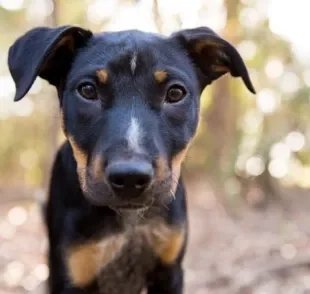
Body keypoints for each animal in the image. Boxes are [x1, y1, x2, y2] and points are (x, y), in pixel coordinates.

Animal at [7, 25, 254, 294]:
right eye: (87, 90)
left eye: (175, 93)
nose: (129, 178)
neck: (130, 220)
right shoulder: (72, 273)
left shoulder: (170, 270)